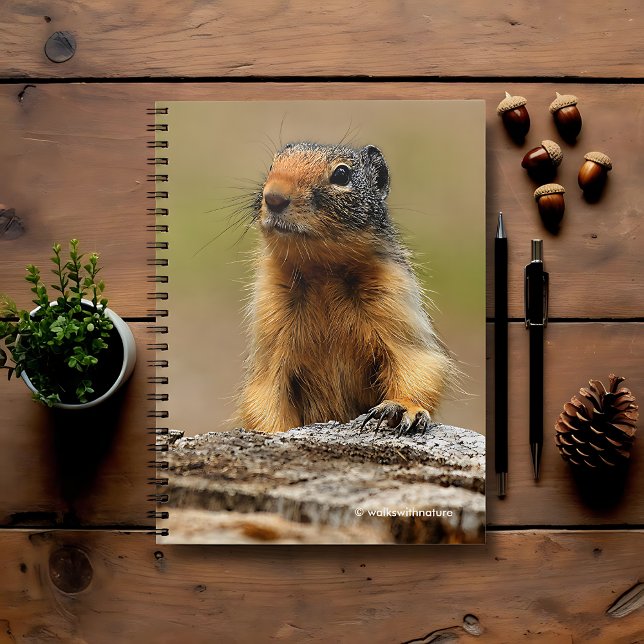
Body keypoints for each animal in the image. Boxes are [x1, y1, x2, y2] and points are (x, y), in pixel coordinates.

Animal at [239, 142, 454, 435]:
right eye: (273, 164)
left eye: (342, 174)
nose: (274, 197)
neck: (322, 273)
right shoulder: (270, 322)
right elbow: (263, 395)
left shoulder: (395, 302)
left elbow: (418, 365)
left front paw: (401, 409)